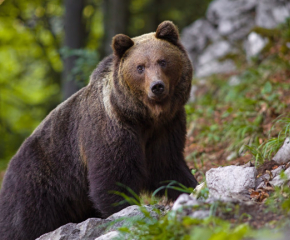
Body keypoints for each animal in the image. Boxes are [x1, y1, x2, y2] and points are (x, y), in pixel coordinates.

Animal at [0, 21, 197, 240]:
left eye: (162, 61)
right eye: (140, 67)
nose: (157, 86)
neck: (142, 116)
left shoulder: (166, 128)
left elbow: (167, 165)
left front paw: (190, 187)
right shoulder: (111, 129)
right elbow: (114, 177)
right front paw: (126, 211)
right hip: (37, 185)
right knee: (23, 224)